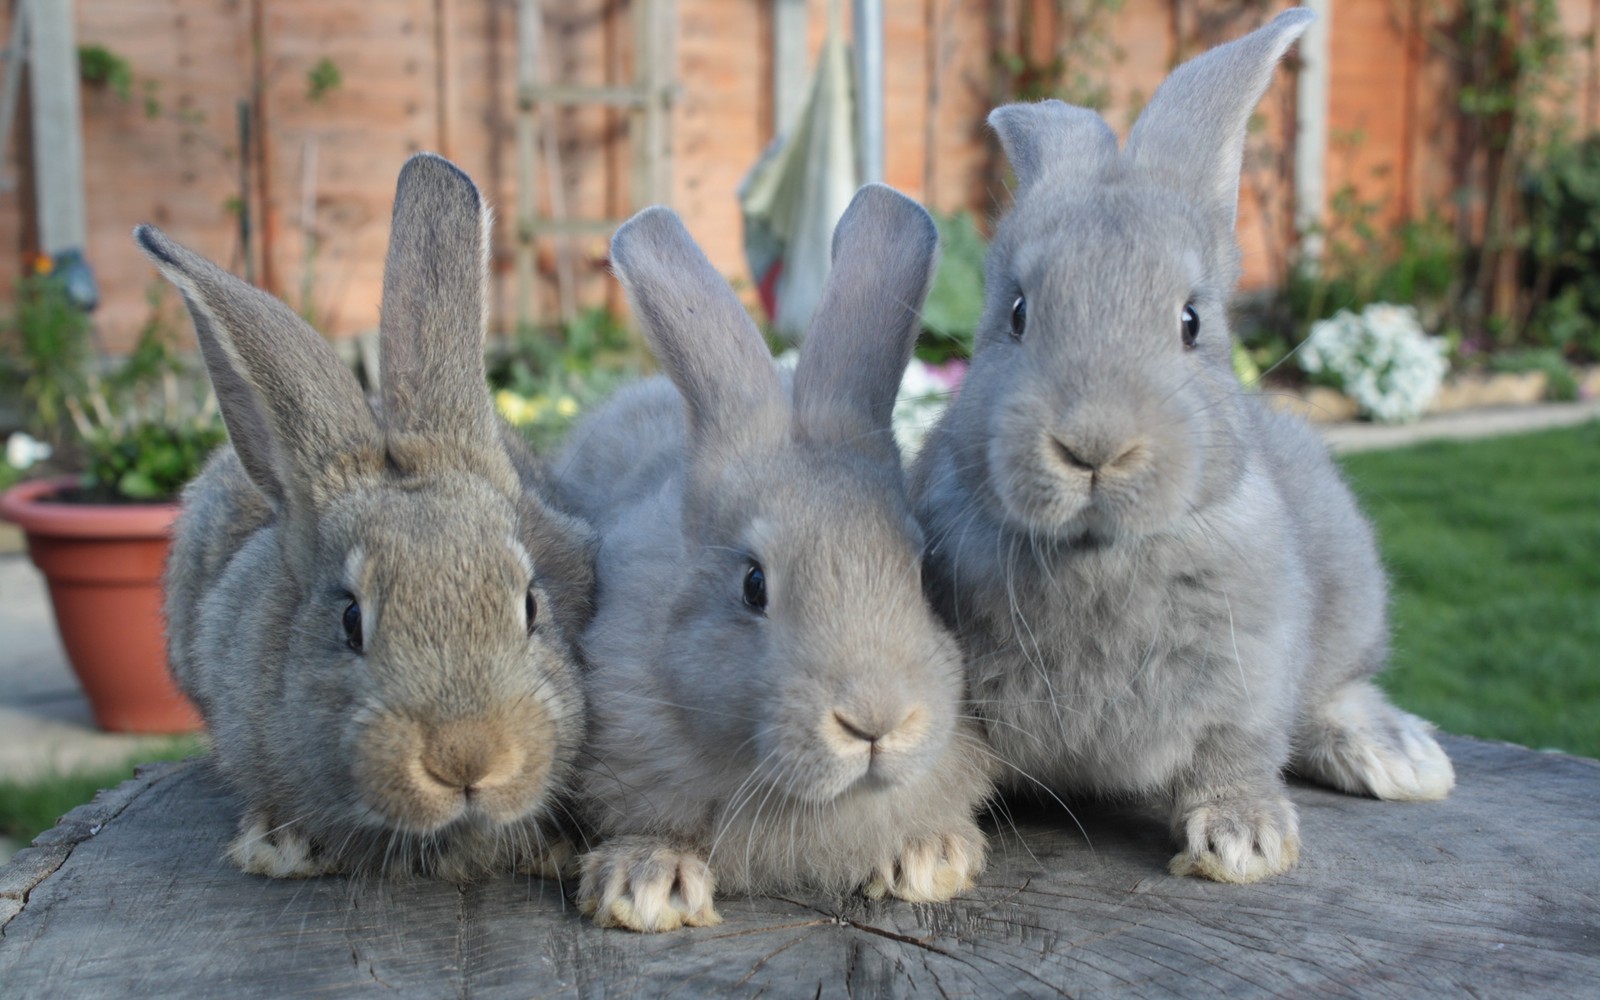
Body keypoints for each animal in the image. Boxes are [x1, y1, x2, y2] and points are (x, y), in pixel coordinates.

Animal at [915, 7, 1452, 883]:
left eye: (1192, 321)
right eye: (1018, 313)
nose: (1094, 446)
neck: (1096, 557)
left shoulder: (1250, 675)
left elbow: (1234, 754)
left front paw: (1244, 843)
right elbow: (942, 767)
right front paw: (924, 854)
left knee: (1334, 695)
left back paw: (1399, 759)